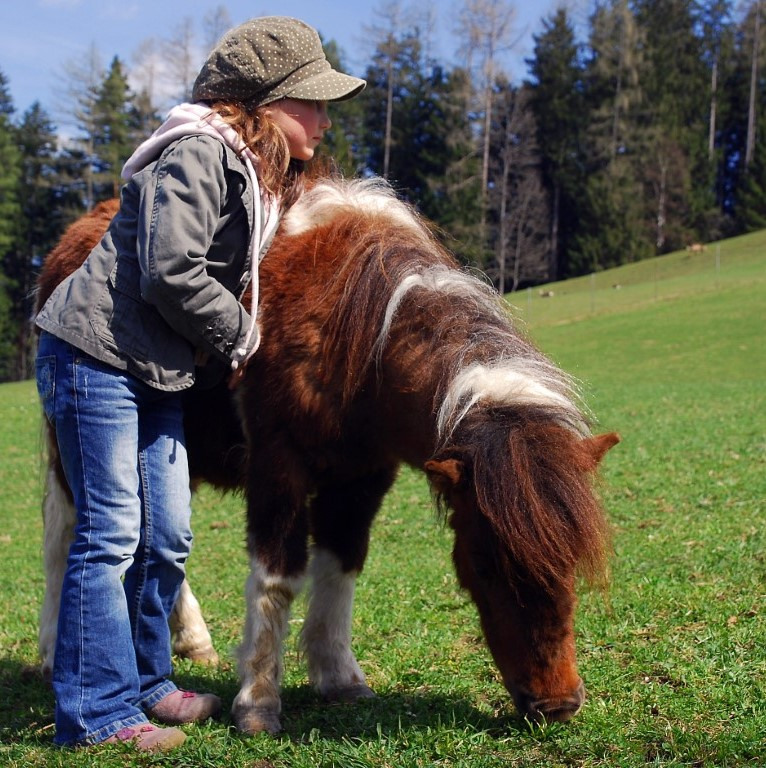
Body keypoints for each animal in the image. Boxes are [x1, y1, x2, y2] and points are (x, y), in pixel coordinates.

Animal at [37, 177, 616, 736]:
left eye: (572, 562)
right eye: (485, 564)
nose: (557, 704)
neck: (353, 334)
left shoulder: (363, 478)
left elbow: (341, 566)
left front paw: (338, 676)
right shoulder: (278, 469)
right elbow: (278, 579)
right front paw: (258, 702)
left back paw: (193, 639)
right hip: (74, 455)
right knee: (65, 538)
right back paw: (49, 652)